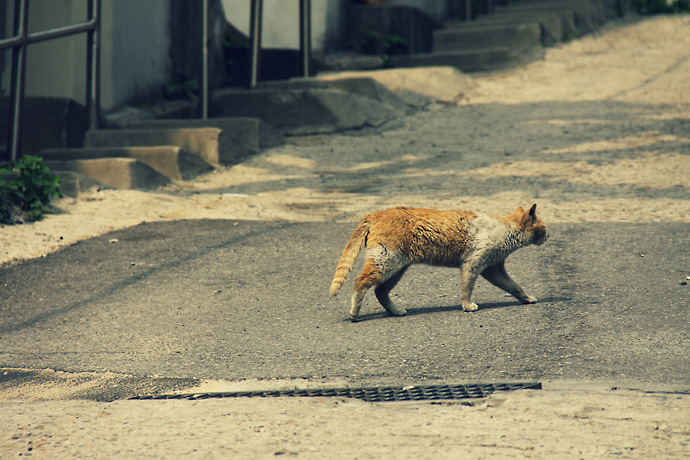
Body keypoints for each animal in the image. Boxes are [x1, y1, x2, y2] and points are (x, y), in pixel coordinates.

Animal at [330, 205, 544, 320]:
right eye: (544, 227)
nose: (548, 235)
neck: (506, 230)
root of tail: (374, 215)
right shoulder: (473, 265)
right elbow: (466, 289)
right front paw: (467, 306)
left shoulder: (494, 270)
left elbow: (514, 286)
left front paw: (526, 299)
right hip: (387, 262)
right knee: (360, 282)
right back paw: (354, 314)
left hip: (396, 267)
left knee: (379, 291)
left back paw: (396, 311)